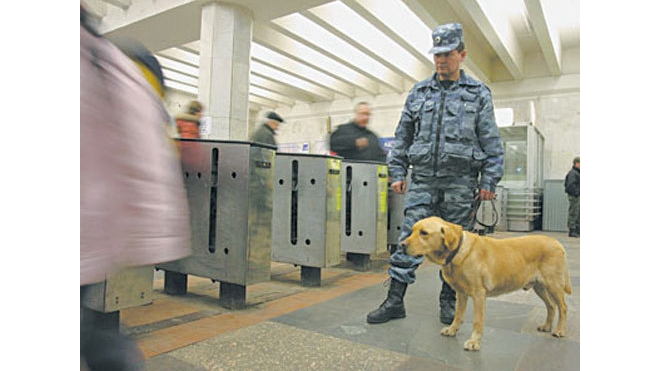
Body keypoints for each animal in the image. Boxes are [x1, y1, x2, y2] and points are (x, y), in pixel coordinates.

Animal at [402, 217, 572, 350]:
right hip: (539, 287)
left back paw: (560, 330)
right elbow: (458, 315)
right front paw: (452, 329)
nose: (402, 245)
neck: (457, 251)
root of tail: (556, 242)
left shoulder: (478, 294)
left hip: (554, 284)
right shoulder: (461, 293)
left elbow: (477, 321)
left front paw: (474, 342)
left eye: (424, 233)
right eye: (412, 230)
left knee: (563, 307)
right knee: (551, 305)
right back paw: (547, 326)